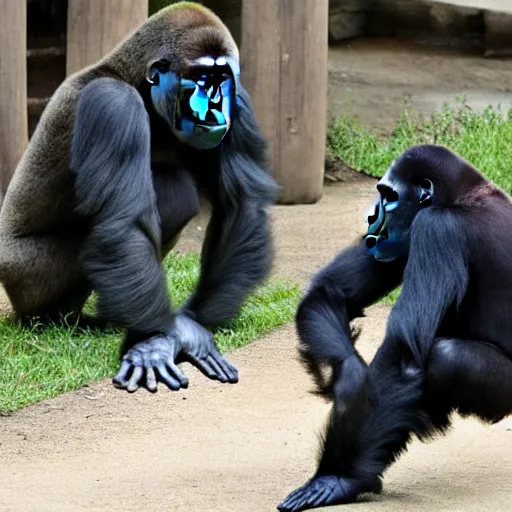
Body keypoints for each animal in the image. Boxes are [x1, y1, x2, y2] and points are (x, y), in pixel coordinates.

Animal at [0, 1, 278, 392]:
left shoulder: (239, 100)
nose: (217, 107)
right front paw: (156, 338)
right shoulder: (113, 103)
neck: (134, 79)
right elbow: (125, 222)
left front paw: (189, 326)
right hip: (22, 272)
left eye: (223, 78)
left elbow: (241, 204)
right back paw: (53, 319)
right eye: (201, 79)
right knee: (171, 193)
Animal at [278, 145, 512, 512]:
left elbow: (404, 358)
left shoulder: (436, 228)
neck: (463, 195)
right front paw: (349, 375)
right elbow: (332, 292)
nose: (370, 216)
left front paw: (340, 477)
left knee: (445, 357)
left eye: (389, 196)